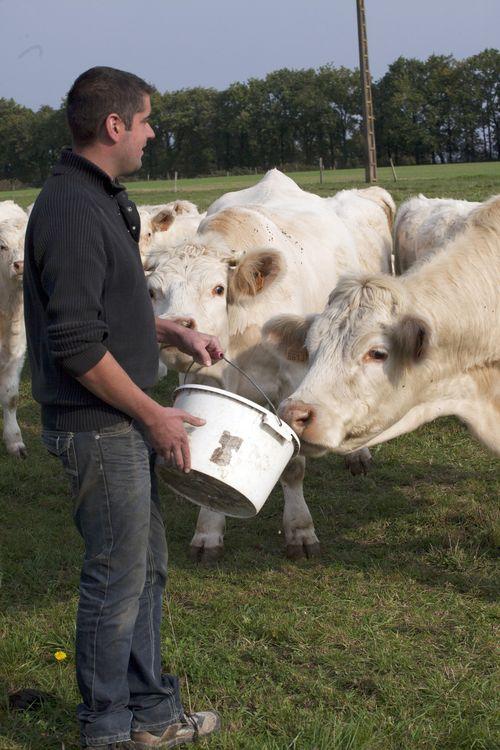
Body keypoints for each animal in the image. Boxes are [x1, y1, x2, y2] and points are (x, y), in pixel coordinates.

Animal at [148, 167, 394, 560]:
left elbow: (293, 467)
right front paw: (208, 532)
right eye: (153, 291)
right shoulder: (205, 379)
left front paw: (300, 531)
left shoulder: (292, 387)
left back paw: (358, 455)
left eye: (218, 289)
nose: (177, 329)